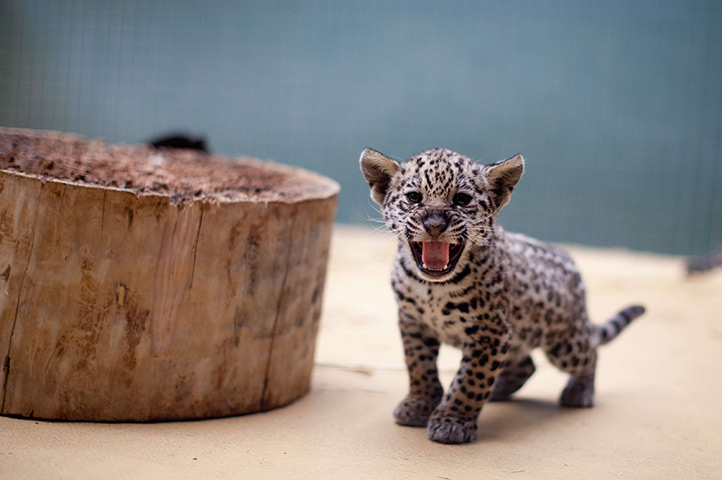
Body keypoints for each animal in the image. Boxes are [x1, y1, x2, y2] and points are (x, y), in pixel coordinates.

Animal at [359, 147, 646, 445]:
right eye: (414, 197)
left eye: (461, 199)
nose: (435, 224)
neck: (432, 288)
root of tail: (574, 268)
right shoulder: (413, 323)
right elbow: (419, 367)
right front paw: (419, 404)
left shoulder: (490, 333)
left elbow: (471, 380)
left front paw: (452, 422)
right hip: (518, 336)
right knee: (525, 366)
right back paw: (497, 389)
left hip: (563, 343)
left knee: (590, 352)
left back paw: (579, 392)